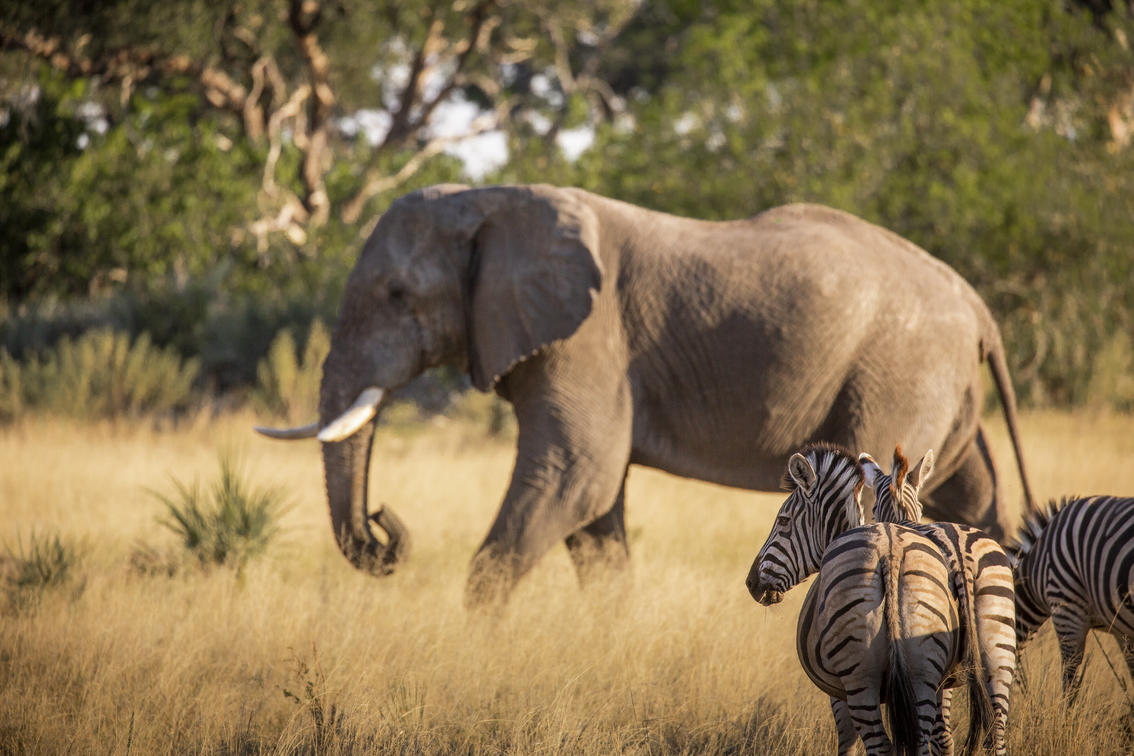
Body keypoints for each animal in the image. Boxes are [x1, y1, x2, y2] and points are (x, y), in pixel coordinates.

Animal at [256, 183, 1035, 606]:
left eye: (396, 295)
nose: (383, 524)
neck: (491, 201)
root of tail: (978, 305)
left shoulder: (588, 334)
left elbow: (576, 478)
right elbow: (592, 510)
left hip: (903, 369)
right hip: (939, 388)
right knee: (970, 500)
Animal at [745, 443, 986, 756]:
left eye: (783, 521)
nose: (751, 583)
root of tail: (890, 553)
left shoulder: (839, 692)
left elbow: (847, 742)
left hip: (859, 677)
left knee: (880, 744)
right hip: (926, 669)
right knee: (930, 739)